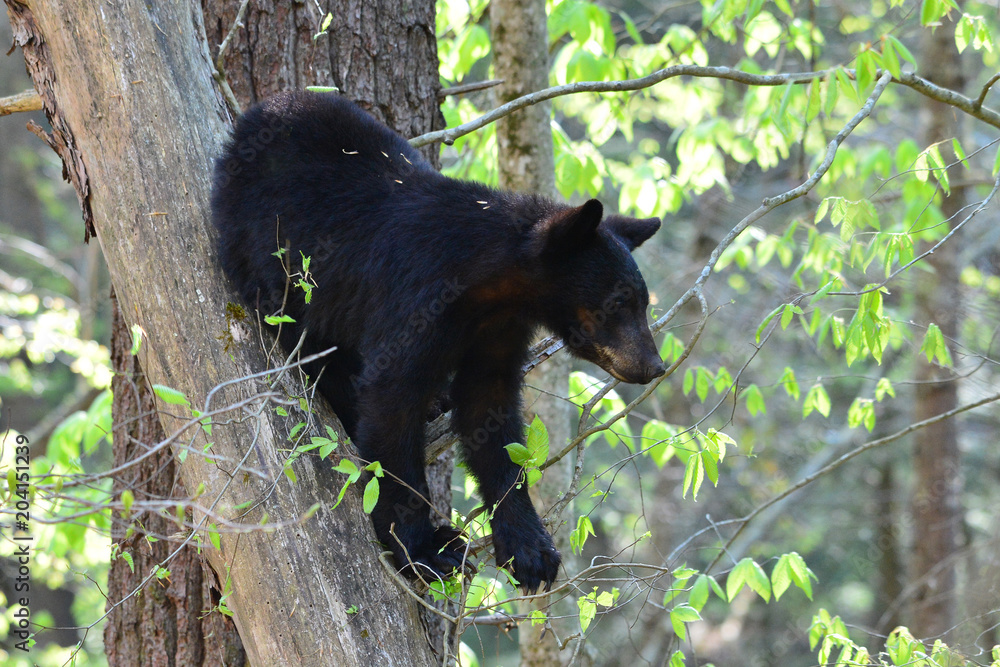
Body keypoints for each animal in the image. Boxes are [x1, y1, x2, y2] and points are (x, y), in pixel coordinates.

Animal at [211, 91, 665, 593]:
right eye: (620, 301)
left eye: (642, 302)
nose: (654, 366)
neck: (488, 282)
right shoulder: (415, 299)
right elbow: (391, 404)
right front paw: (422, 548)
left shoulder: (499, 329)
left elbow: (491, 412)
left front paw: (529, 548)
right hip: (269, 259)